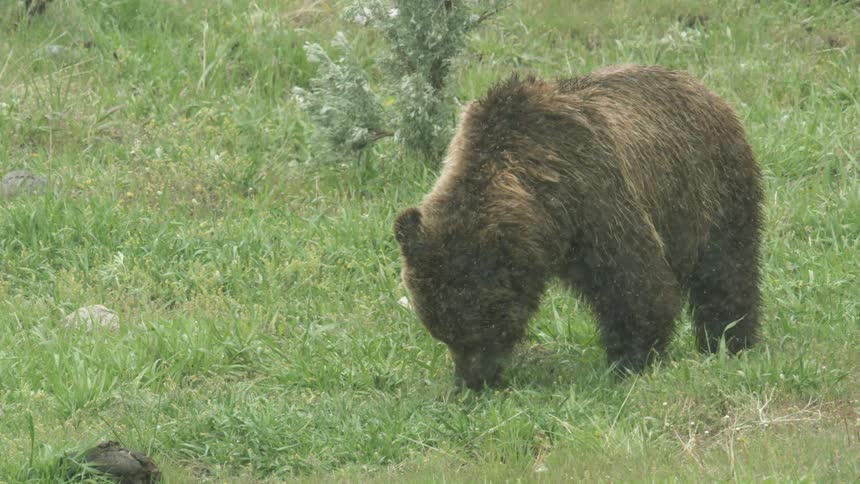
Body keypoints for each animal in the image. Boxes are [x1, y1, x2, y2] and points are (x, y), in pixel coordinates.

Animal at [394, 64, 764, 390]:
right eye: (441, 332)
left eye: (482, 328)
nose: (471, 382)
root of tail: (706, 89)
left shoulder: (596, 197)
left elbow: (635, 284)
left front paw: (630, 360)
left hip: (709, 189)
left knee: (726, 272)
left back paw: (730, 340)